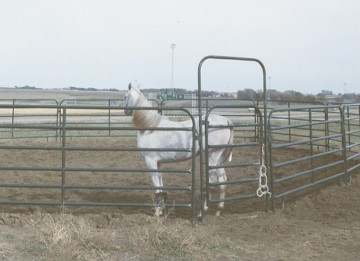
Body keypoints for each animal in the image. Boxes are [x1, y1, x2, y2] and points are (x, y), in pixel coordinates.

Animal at [125, 83, 235, 215]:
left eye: (125, 96)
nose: (125, 111)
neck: (150, 127)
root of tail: (226, 121)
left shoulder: (150, 161)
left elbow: (156, 186)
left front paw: (157, 212)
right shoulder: (158, 162)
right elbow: (161, 185)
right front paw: (162, 209)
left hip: (213, 156)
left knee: (212, 180)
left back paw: (201, 211)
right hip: (219, 158)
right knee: (222, 180)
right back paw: (218, 210)